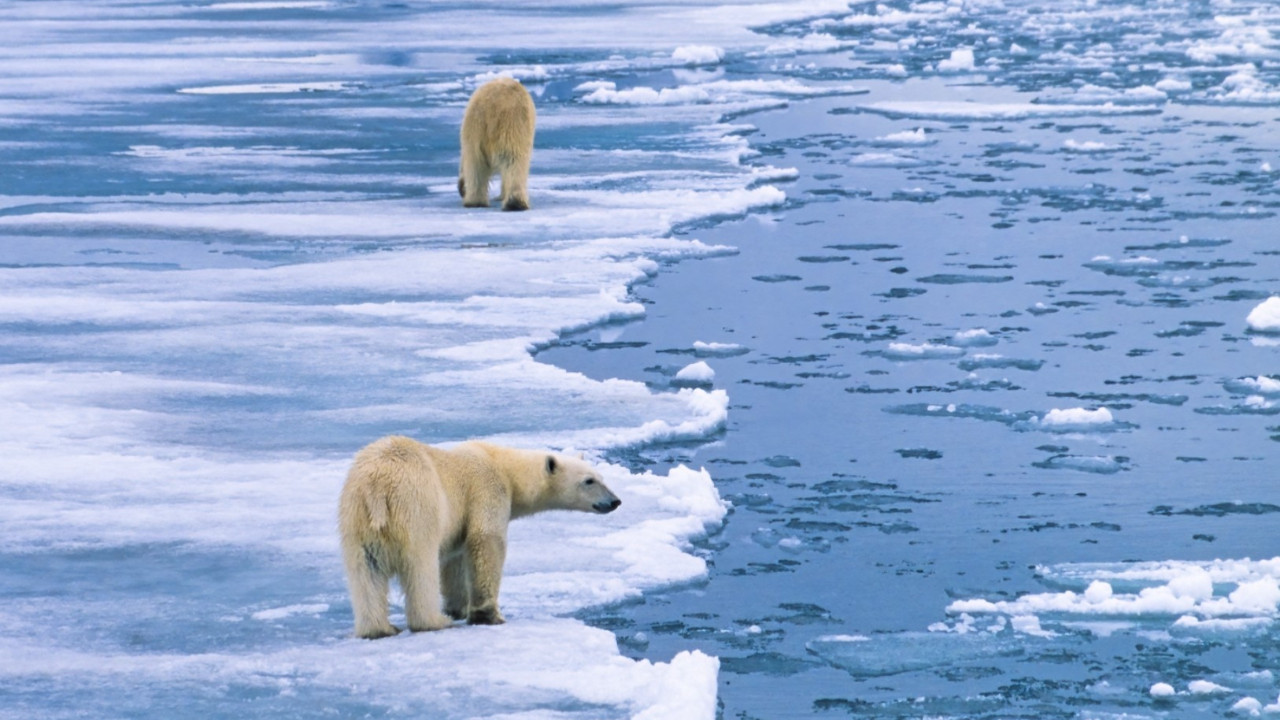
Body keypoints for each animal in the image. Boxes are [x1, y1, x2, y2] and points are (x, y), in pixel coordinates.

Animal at [340, 435, 619, 635]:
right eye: (589, 481)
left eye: (602, 477)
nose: (615, 501)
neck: (505, 468)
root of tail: (377, 487)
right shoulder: (486, 489)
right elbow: (486, 541)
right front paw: (488, 615)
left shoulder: (457, 523)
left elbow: (454, 560)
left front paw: (458, 607)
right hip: (416, 506)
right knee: (420, 566)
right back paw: (434, 621)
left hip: (356, 517)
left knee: (366, 571)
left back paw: (379, 629)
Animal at [455, 77, 535, 210]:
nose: (462, 190)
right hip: (512, 125)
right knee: (514, 159)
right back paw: (515, 203)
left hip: (475, 127)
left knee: (475, 161)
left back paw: (476, 202)